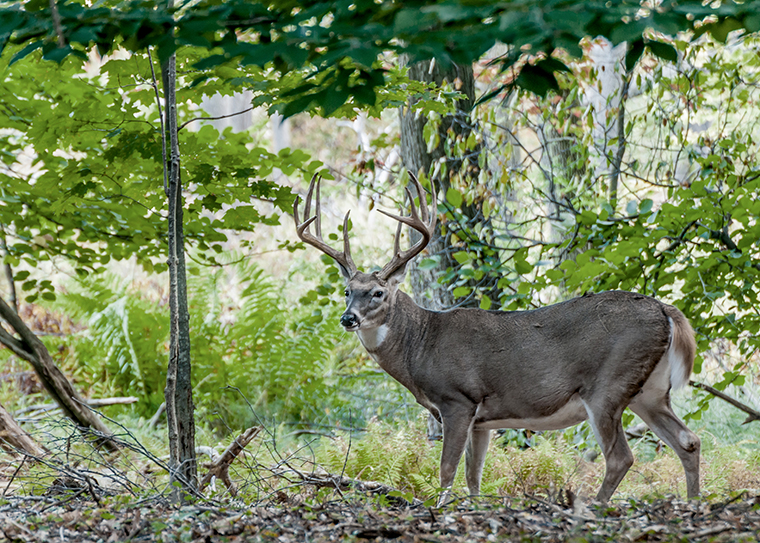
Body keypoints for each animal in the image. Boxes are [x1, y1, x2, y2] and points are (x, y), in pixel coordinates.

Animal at [292, 176, 700, 504]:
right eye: (347, 291)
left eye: (378, 293)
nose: (348, 318)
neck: (420, 345)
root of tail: (664, 308)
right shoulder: (483, 421)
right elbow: (474, 476)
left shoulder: (457, 400)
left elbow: (447, 471)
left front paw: (441, 511)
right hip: (649, 390)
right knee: (688, 441)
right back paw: (694, 503)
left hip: (607, 385)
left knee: (621, 457)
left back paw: (596, 507)